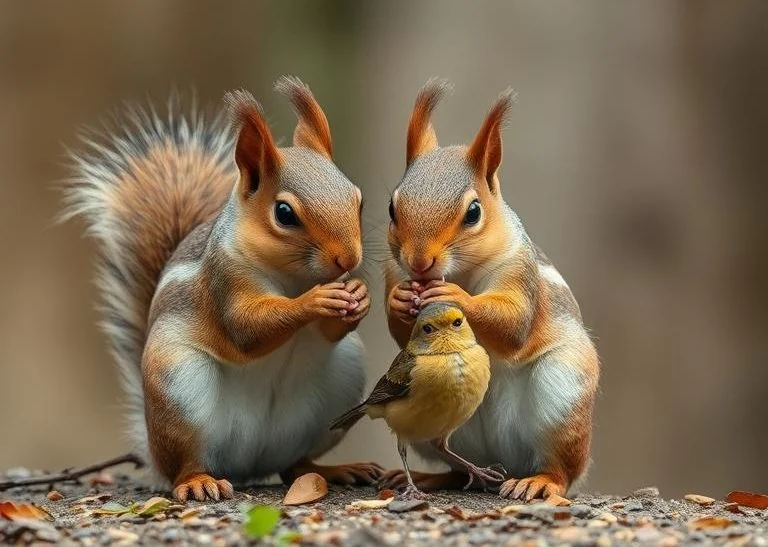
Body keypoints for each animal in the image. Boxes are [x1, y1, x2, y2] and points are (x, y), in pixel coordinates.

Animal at [63, 77, 382, 502]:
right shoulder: (224, 281)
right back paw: (198, 481)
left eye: (358, 199)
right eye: (284, 214)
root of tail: (247, 465)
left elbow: (329, 331)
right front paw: (316, 300)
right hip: (177, 384)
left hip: (341, 384)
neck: (293, 277)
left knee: (296, 465)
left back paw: (337, 469)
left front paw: (359, 296)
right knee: (185, 464)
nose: (348, 259)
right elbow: (247, 329)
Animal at [381, 79, 600, 501]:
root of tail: (507, 461)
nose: (418, 262)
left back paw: (540, 481)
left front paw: (456, 298)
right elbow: (403, 333)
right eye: (391, 208)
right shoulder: (392, 269)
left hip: (564, 394)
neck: (460, 272)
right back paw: (432, 479)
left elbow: (512, 324)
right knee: (451, 460)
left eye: (473, 212)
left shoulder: (518, 271)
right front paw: (398, 300)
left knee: (562, 470)